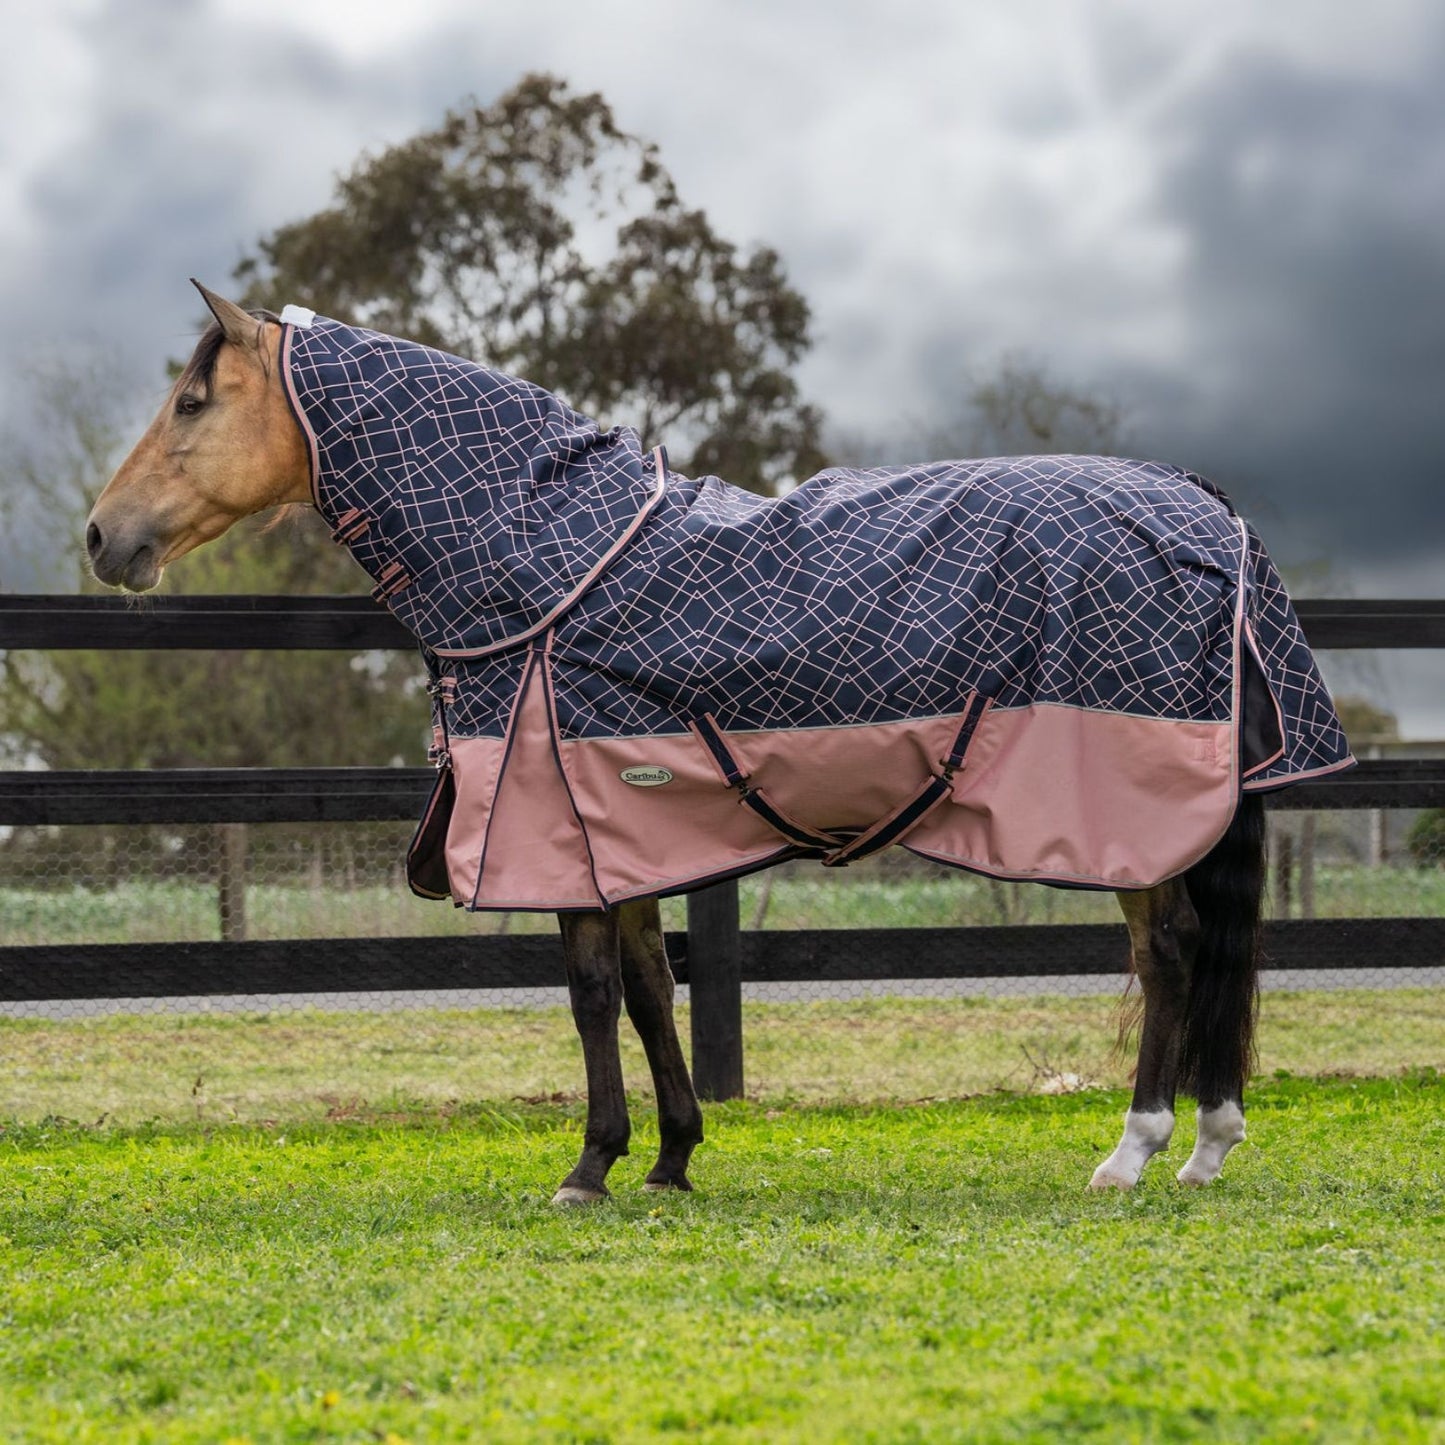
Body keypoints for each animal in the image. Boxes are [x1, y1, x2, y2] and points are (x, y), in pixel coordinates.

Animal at [86, 282, 1353, 1202]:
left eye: (193, 400)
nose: (102, 536)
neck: (550, 565)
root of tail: (1202, 509)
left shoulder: (556, 830)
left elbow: (593, 992)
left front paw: (590, 1165)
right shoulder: (622, 830)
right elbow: (653, 988)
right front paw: (669, 1157)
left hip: (1127, 818)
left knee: (1171, 953)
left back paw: (1133, 1149)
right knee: (1198, 953)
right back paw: (1205, 1142)